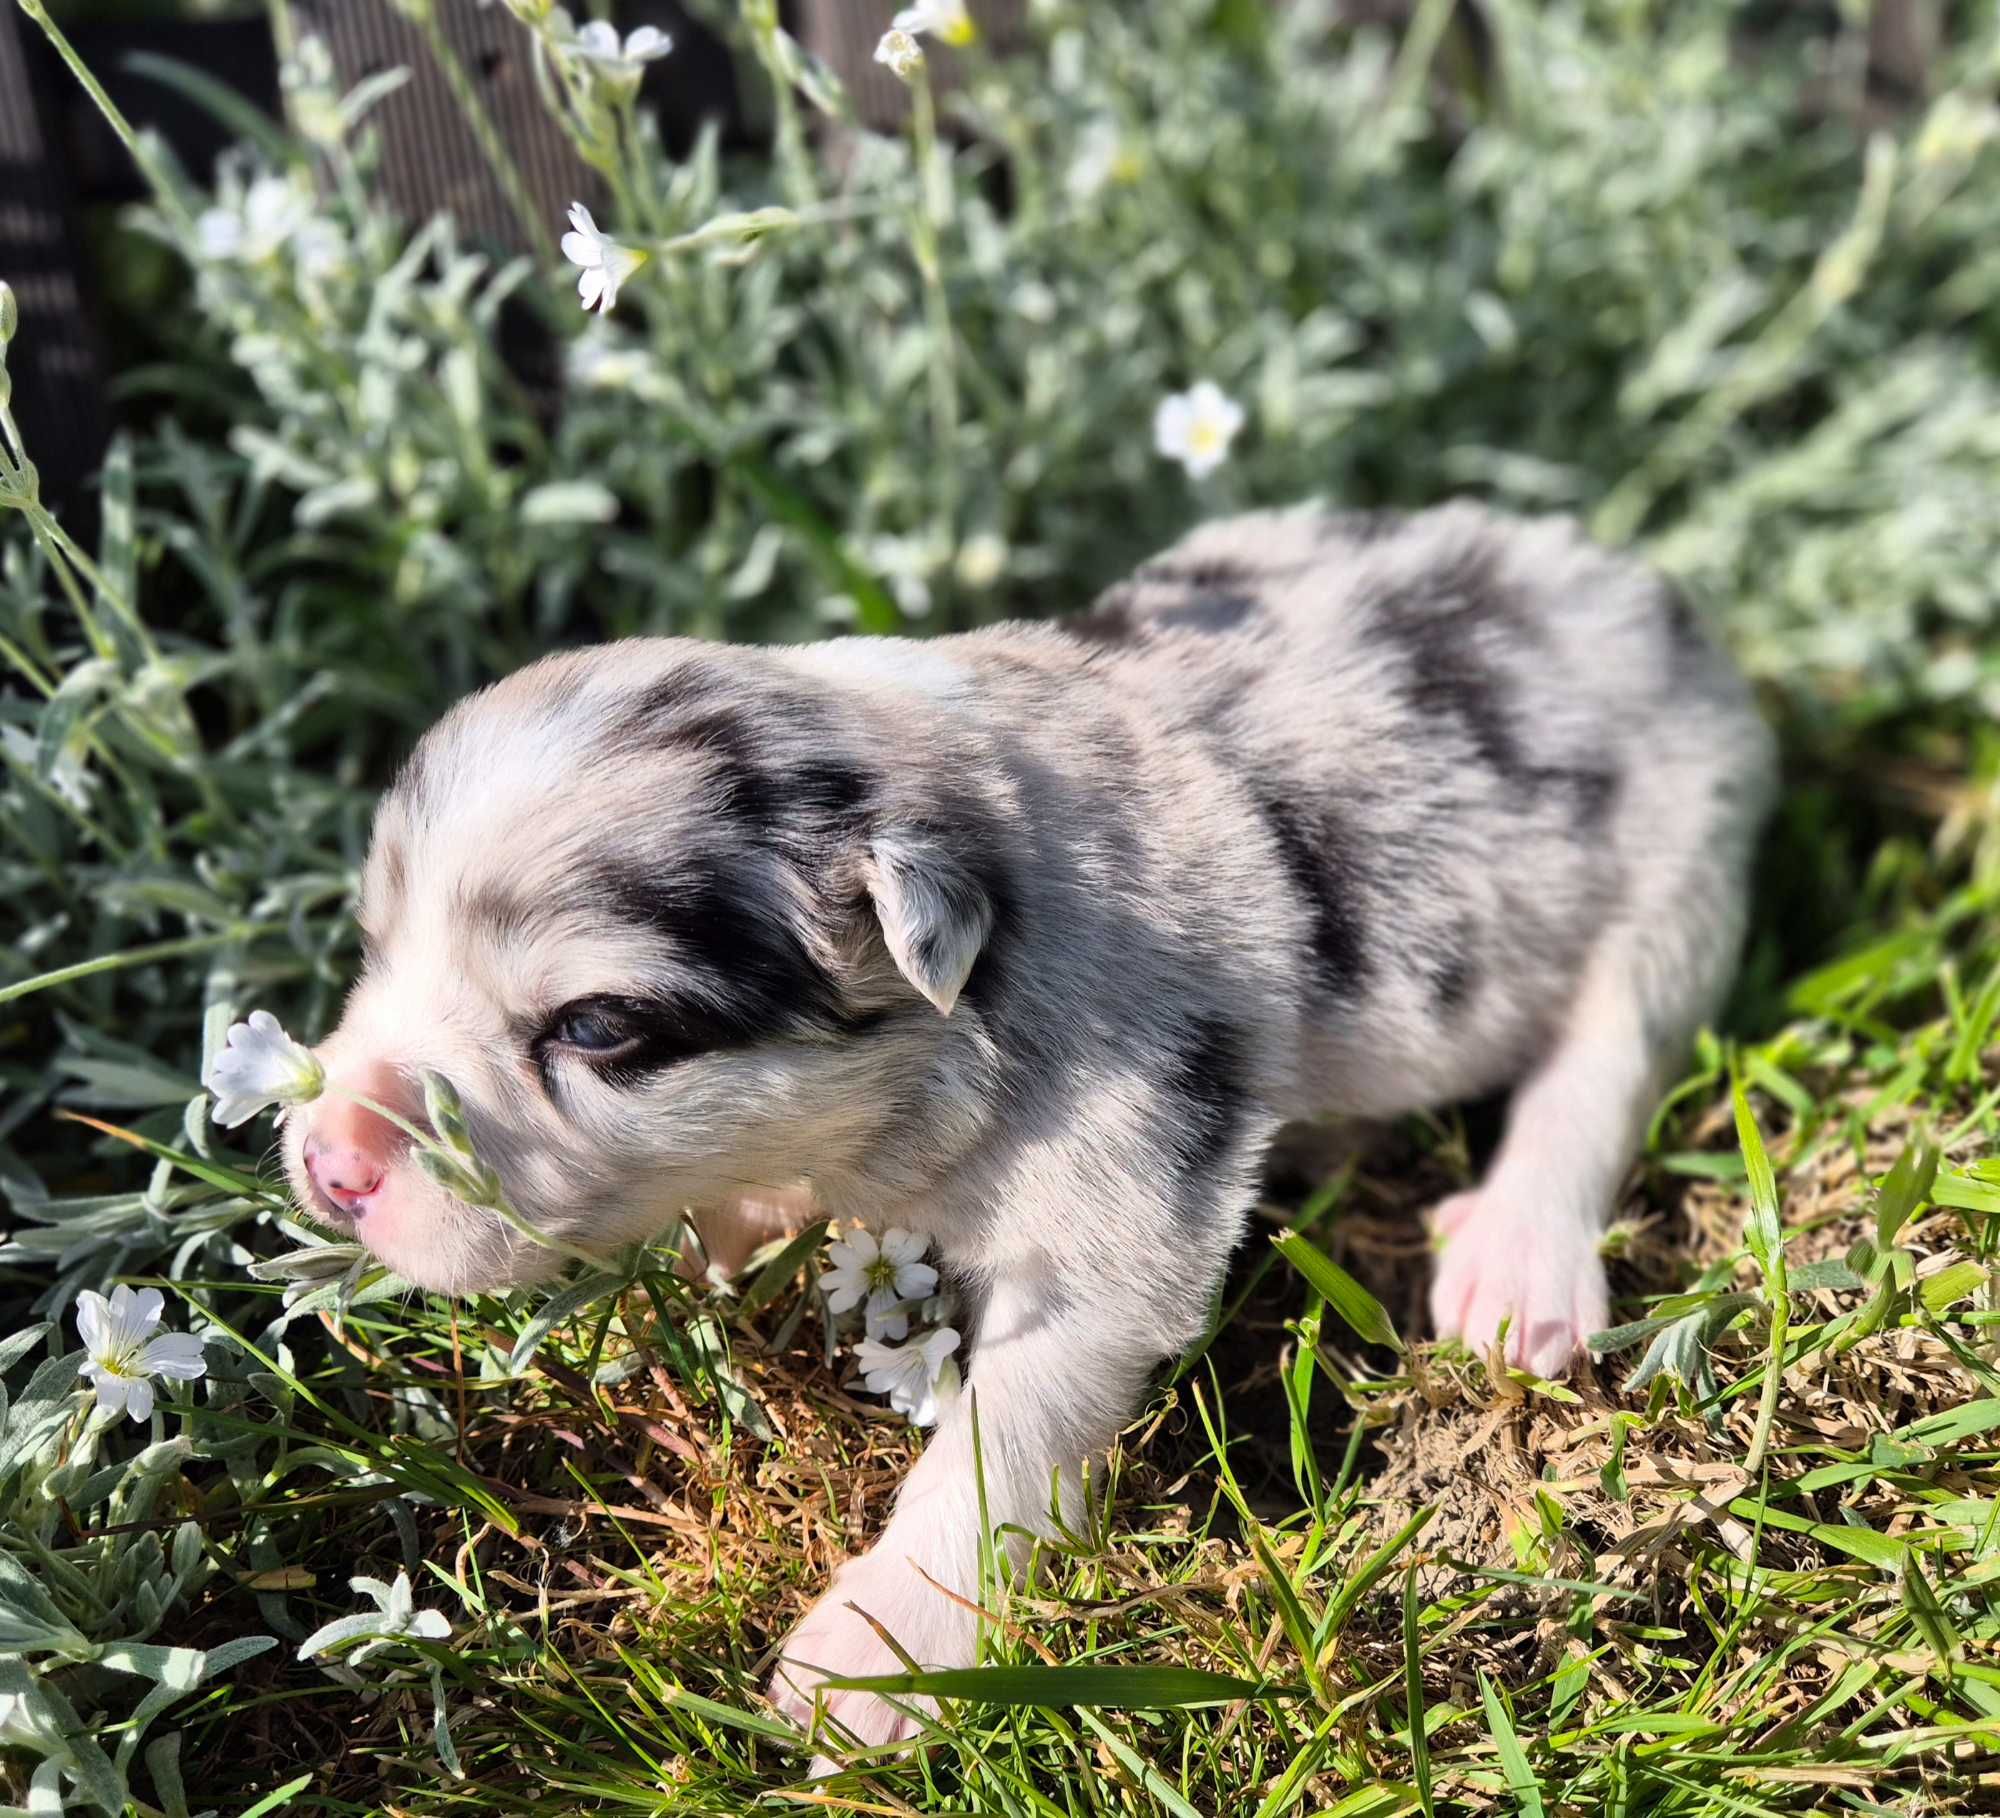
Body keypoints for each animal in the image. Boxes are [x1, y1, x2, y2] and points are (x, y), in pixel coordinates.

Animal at [282, 500, 1768, 1760]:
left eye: (595, 1027)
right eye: (374, 944)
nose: (326, 1160)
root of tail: (1624, 583)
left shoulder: (1117, 1219)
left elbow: (1001, 1436)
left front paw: (871, 1654)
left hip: (1683, 869)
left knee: (1600, 1061)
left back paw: (1516, 1262)